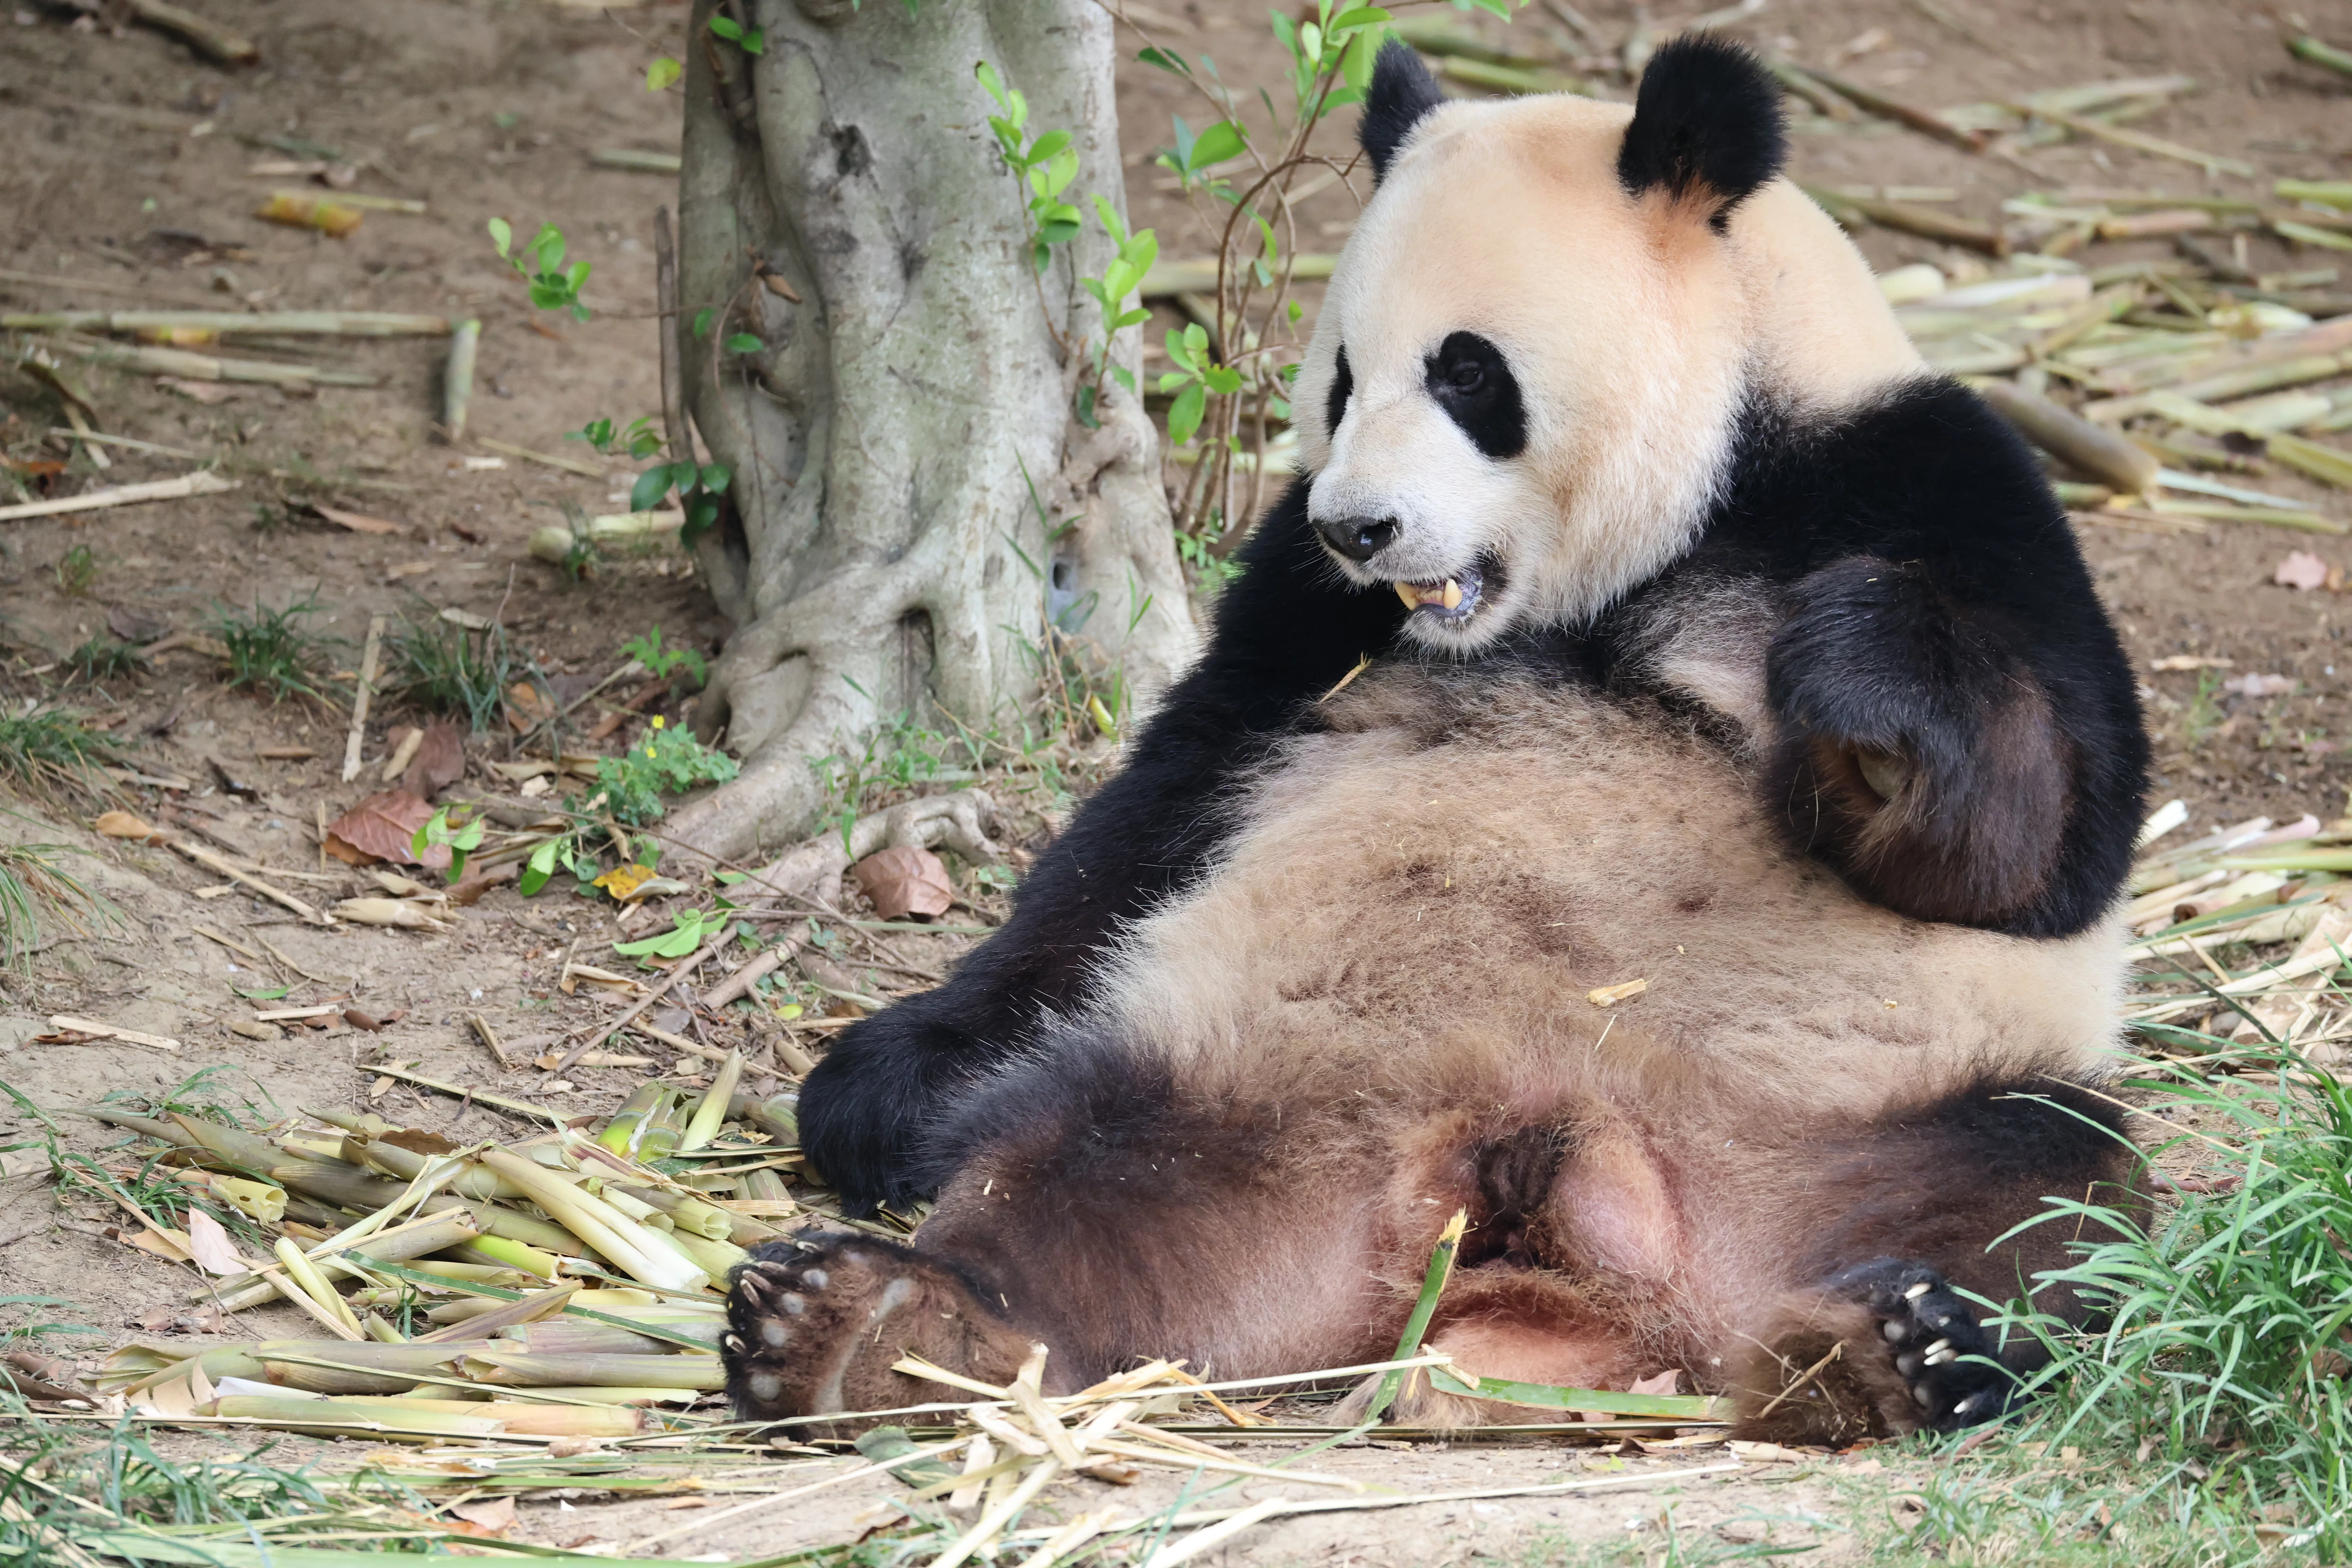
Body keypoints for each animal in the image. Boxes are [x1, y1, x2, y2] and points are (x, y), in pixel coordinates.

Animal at [723, 36, 2150, 1443]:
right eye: (1343, 376)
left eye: (1468, 373)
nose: (1360, 526)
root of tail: (1546, 1223)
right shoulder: (1302, 607)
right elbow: (1161, 807)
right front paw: (892, 1080)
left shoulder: (1930, 479)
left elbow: (2045, 852)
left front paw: (1858, 691)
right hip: (1259, 1090)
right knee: (1082, 1168)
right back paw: (875, 1327)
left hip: (1846, 1118)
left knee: (2045, 1191)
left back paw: (1889, 1346)